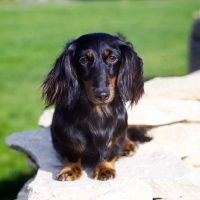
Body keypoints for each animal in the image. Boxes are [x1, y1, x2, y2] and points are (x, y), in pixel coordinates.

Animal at [41, 33, 150, 181]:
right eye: (84, 60)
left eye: (112, 58)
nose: (102, 95)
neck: (98, 111)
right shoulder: (64, 136)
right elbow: (71, 154)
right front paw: (69, 170)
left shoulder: (116, 134)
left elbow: (109, 151)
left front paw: (105, 168)